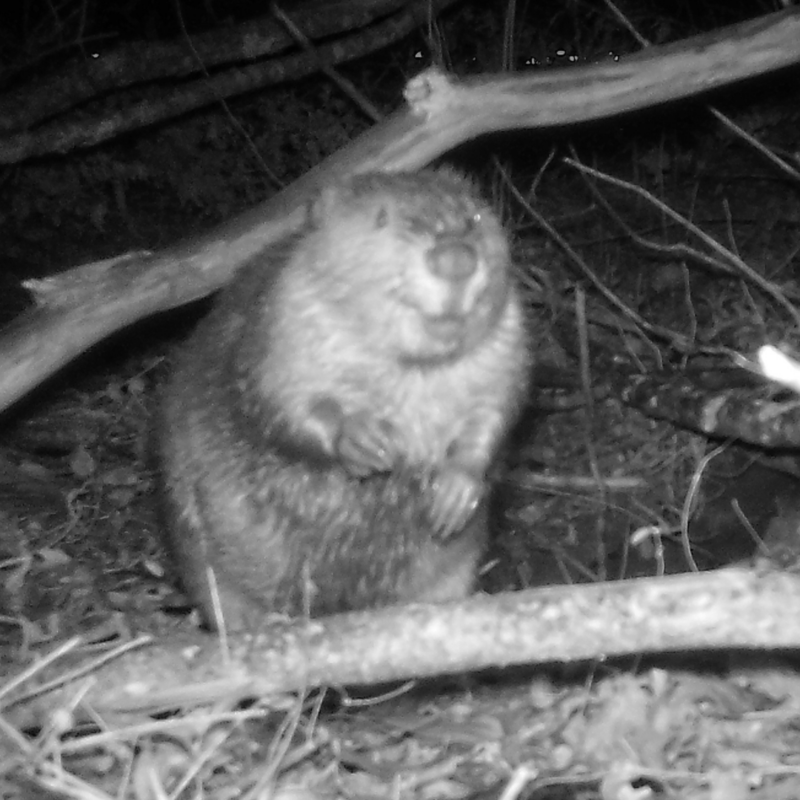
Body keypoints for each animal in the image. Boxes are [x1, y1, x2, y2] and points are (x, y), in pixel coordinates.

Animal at [156, 170, 532, 632]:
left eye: (475, 217)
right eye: (381, 217)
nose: (455, 259)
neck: (412, 371)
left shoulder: (506, 345)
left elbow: (496, 412)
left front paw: (454, 495)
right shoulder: (279, 323)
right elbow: (277, 402)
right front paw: (368, 442)